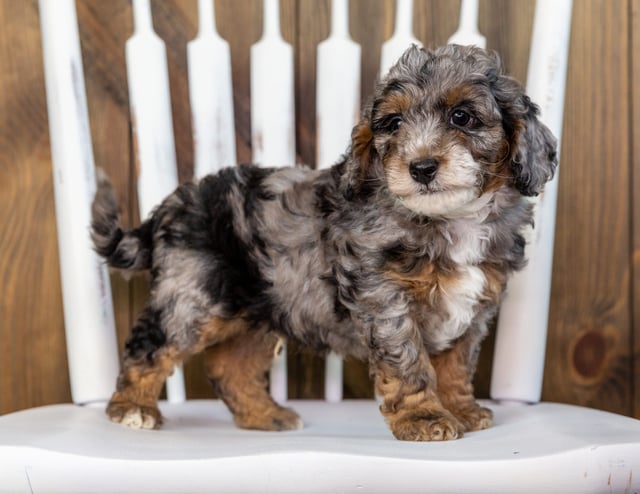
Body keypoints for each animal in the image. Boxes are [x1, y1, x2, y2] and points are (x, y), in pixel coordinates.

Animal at [92, 45, 556, 440]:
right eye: (393, 124)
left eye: (462, 117)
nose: (421, 167)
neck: (450, 219)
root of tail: (168, 206)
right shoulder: (384, 299)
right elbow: (408, 361)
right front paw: (424, 417)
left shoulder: (474, 310)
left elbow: (457, 363)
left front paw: (461, 410)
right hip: (192, 296)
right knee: (151, 345)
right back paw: (131, 409)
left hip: (262, 307)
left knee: (230, 366)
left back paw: (265, 415)